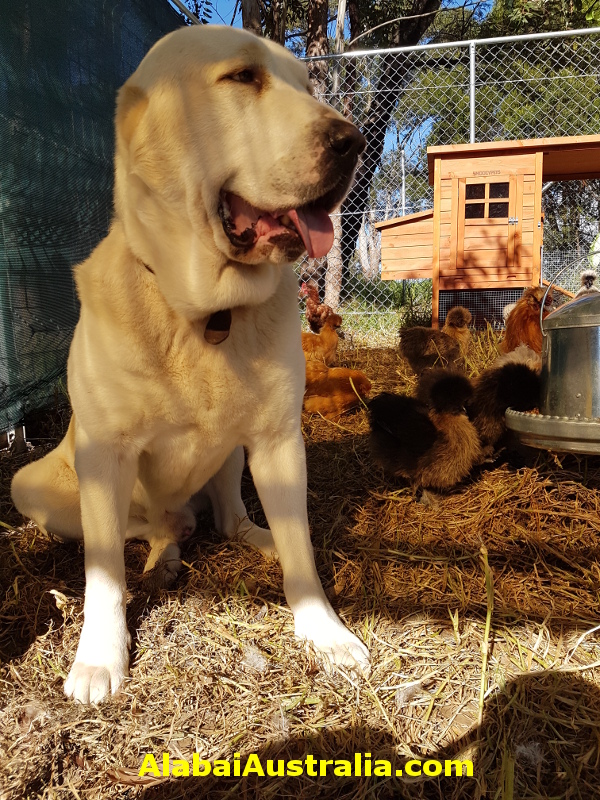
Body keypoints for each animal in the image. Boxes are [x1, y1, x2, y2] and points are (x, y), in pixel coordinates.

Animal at [12, 23, 370, 700]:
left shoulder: (280, 440)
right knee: (146, 528)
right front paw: (98, 657)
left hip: (233, 454)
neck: (206, 315)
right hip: (34, 486)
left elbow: (302, 547)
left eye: (306, 85)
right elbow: (104, 571)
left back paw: (251, 537)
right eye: (242, 77)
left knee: (229, 518)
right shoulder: (106, 454)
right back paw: (166, 551)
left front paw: (324, 629)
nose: (353, 143)